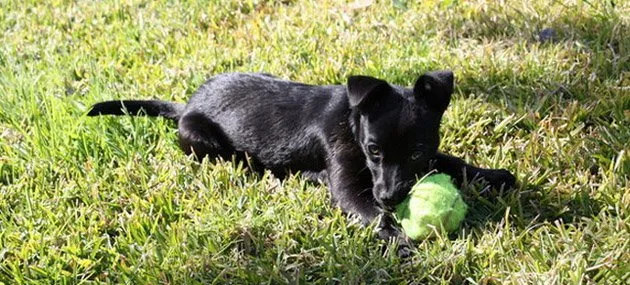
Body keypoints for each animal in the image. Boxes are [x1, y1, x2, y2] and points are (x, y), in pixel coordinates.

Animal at [87, 70, 512, 255]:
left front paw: (493, 175)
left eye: (417, 153)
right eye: (373, 150)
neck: (353, 119)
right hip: (199, 138)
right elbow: (371, 214)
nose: (390, 197)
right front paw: (400, 239)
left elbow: (451, 160)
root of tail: (186, 104)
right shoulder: (349, 185)